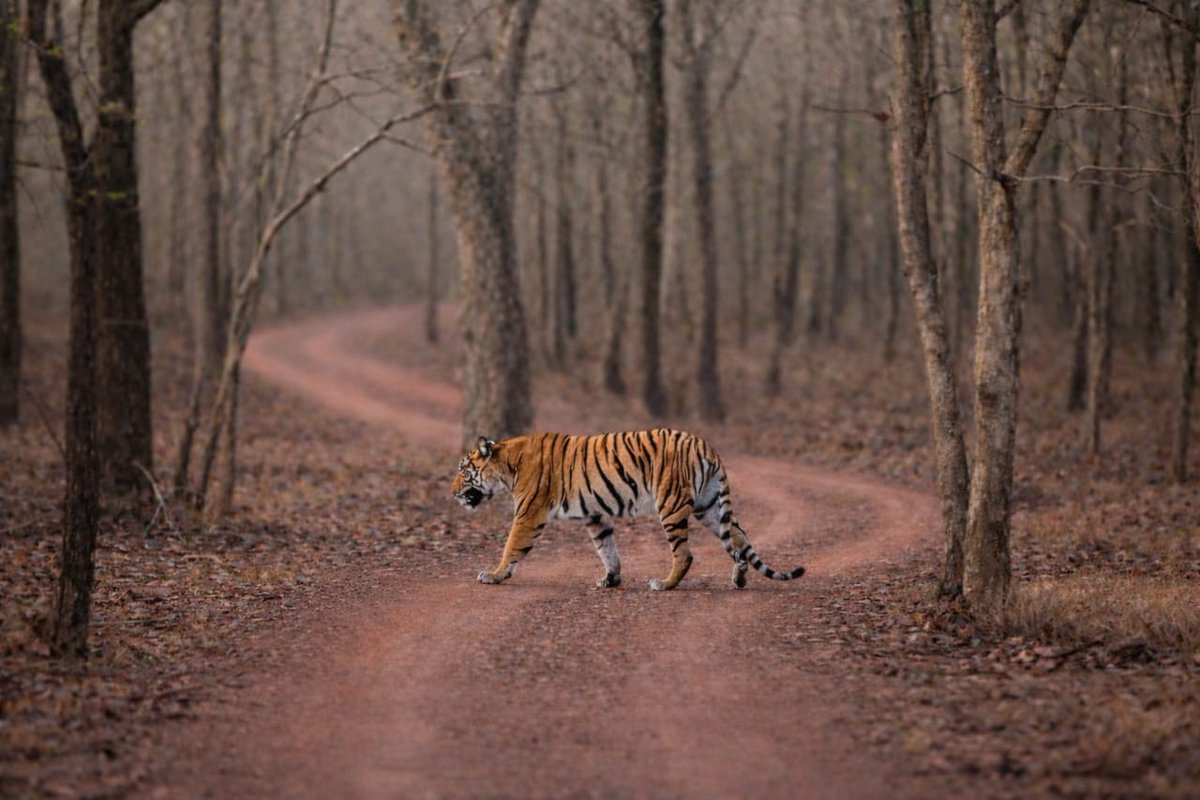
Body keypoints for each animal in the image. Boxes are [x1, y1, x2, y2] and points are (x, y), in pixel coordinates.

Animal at [451, 429, 805, 591]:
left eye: (464, 470)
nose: (452, 493)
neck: (507, 467)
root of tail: (705, 445)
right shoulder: (596, 516)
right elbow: (607, 548)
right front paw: (611, 578)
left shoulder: (528, 514)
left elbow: (511, 546)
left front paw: (493, 575)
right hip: (710, 507)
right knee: (740, 541)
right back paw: (739, 579)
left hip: (671, 506)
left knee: (685, 553)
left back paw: (664, 584)